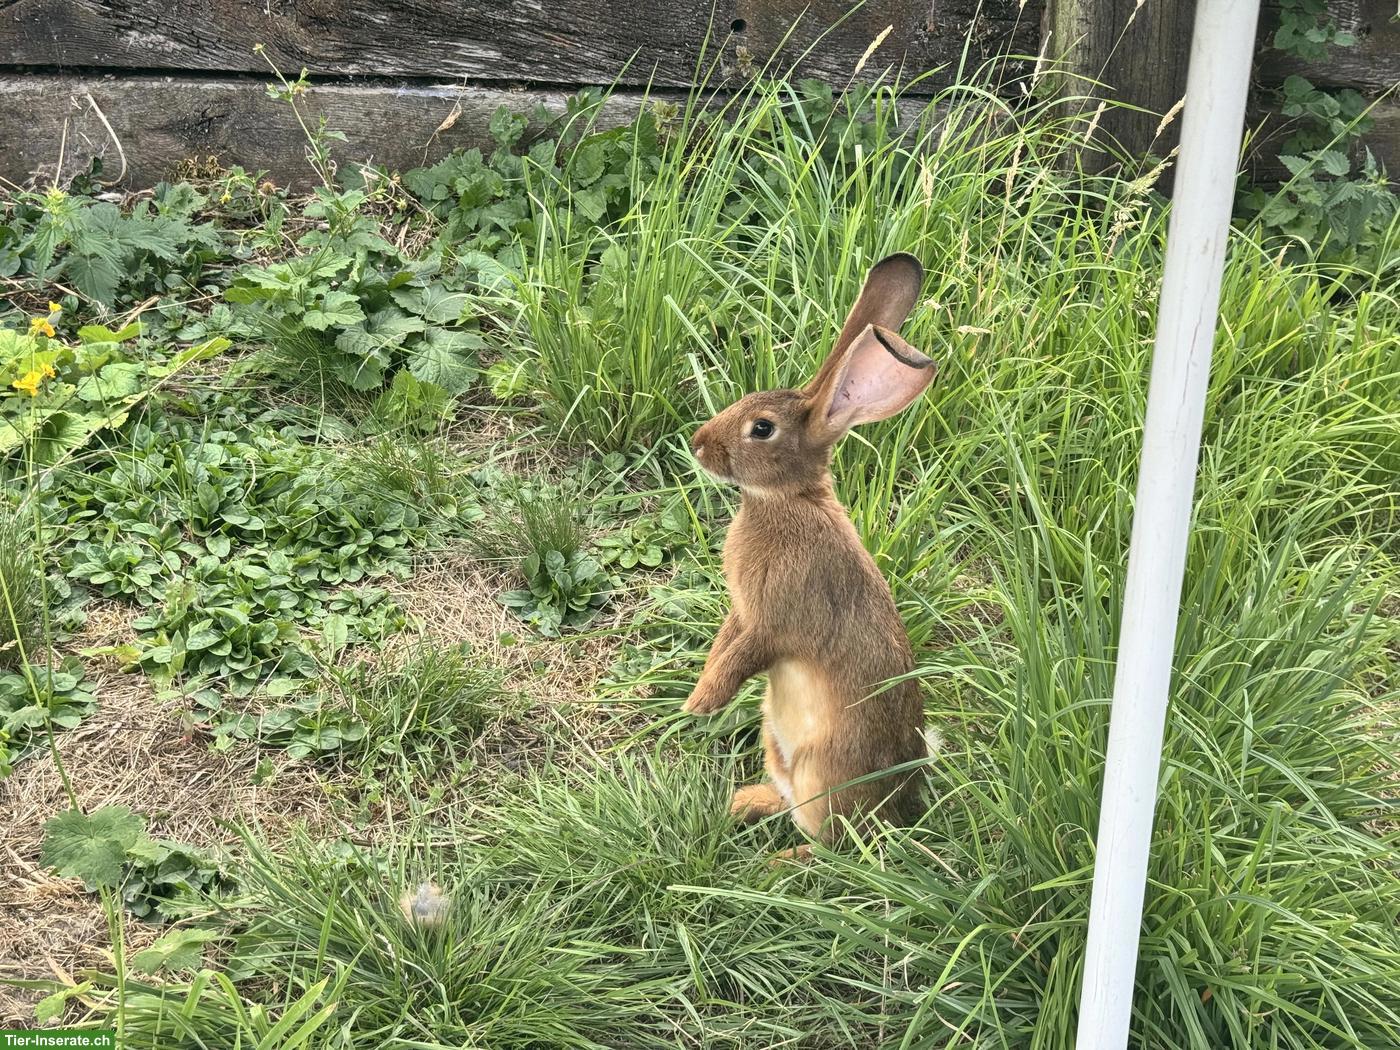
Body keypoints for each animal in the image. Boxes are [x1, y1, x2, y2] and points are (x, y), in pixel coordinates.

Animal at [684, 252, 936, 850]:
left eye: (761, 428)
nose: (699, 444)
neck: (787, 501)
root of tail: (901, 805)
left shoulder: (775, 621)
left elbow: (741, 658)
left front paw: (699, 705)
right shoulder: (742, 612)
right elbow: (723, 647)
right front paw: (698, 694)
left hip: (823, 771)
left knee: (832, 842)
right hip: (774, 740)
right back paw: (743, 804)